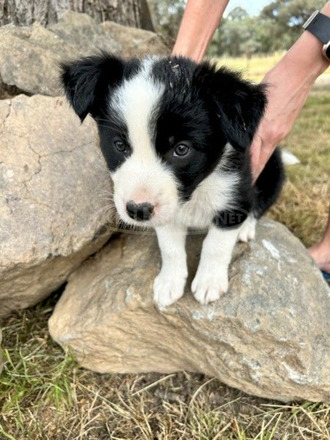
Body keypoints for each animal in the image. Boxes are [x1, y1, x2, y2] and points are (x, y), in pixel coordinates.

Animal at [63, 53, 284, 308]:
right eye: (119, 145)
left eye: (181, 149)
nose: (137, 210)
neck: (197, 192)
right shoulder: (166, 212)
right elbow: (170, 247)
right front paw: (169, 283)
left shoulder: (235, 193)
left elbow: (216, 244)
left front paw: (209, 282)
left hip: (272, 171)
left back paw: (246, 228)